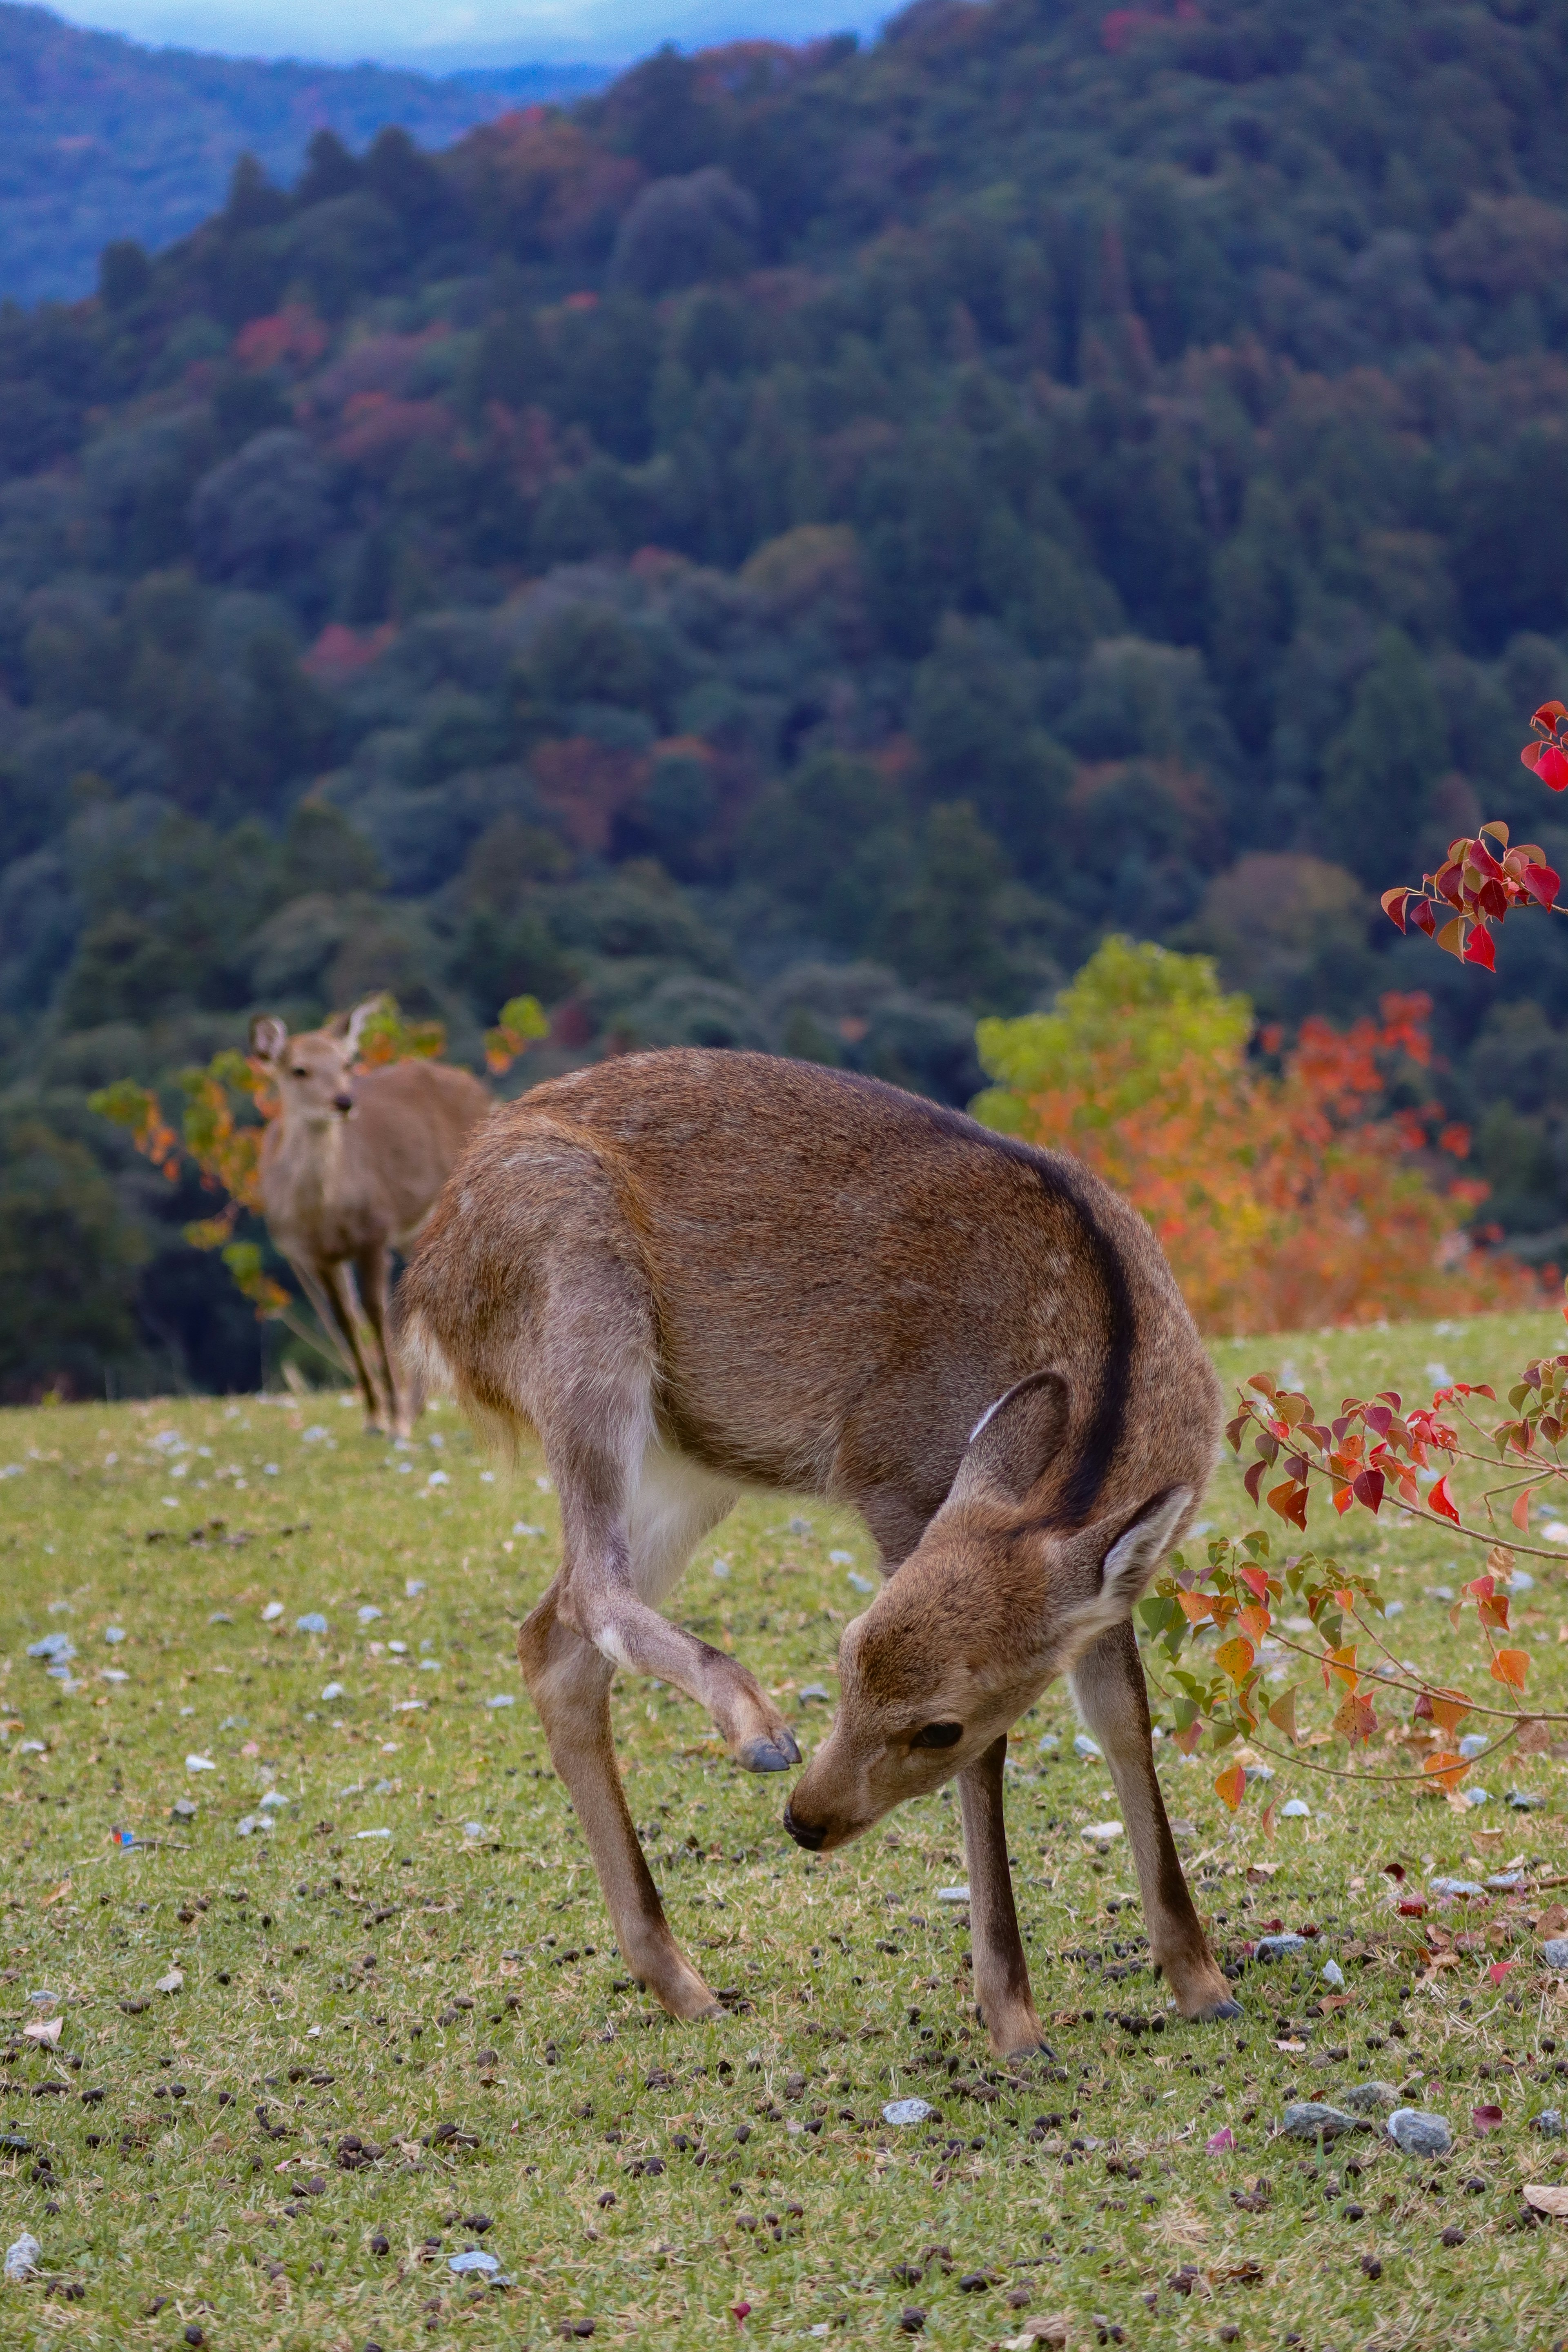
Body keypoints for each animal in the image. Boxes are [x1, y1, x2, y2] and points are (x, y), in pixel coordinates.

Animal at [250, 1002, 491, 1439]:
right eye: (299, 1069)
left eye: (346, 1063)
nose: (344, 1101)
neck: (324, 1214)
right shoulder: (316, 1255)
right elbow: (347, 1321)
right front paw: (373, 1416)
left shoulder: (374, 1230)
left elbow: (377, 1315)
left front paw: (395, 1419)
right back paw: (418, 1406)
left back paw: (415, 1408)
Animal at [404, 1049, 1241, 2060]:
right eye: (842, 1657)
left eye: (936, 1726)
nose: (805, 1821)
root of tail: (427, 1283)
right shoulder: (893, 1480)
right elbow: (999, 1759)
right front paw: (1014, 2021)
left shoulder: (1106, 1583)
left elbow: (1123, 1715)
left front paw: (1203, 1982)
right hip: (579, 1312)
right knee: (587, 1593)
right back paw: (755, 1730)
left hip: (693, 1461)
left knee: (553, 1637)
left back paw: (682, 1981)